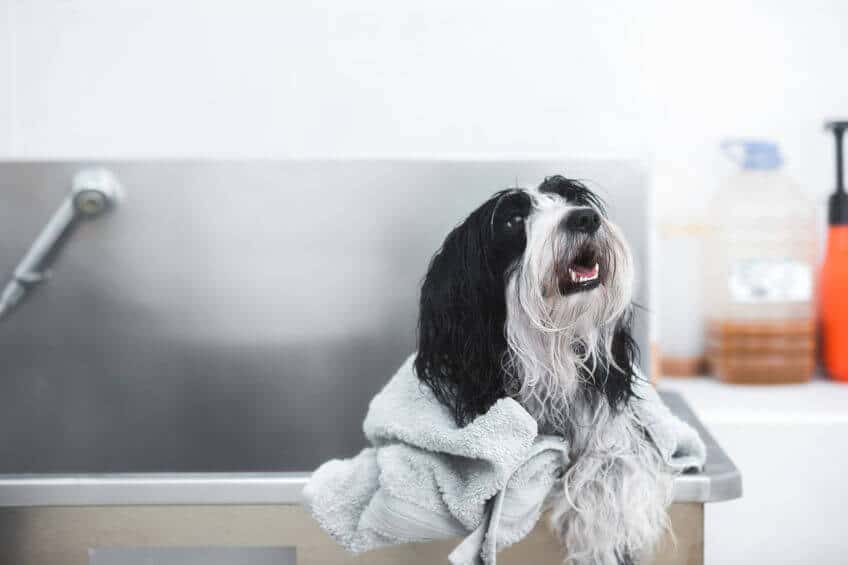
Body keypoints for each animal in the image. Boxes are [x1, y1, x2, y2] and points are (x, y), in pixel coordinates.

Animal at [414, 175, 672, 564]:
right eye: (512, 219)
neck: (550, 354)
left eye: (571, 197)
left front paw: (606, 539)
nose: (585, 218)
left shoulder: (614, 428)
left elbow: (613, 464)